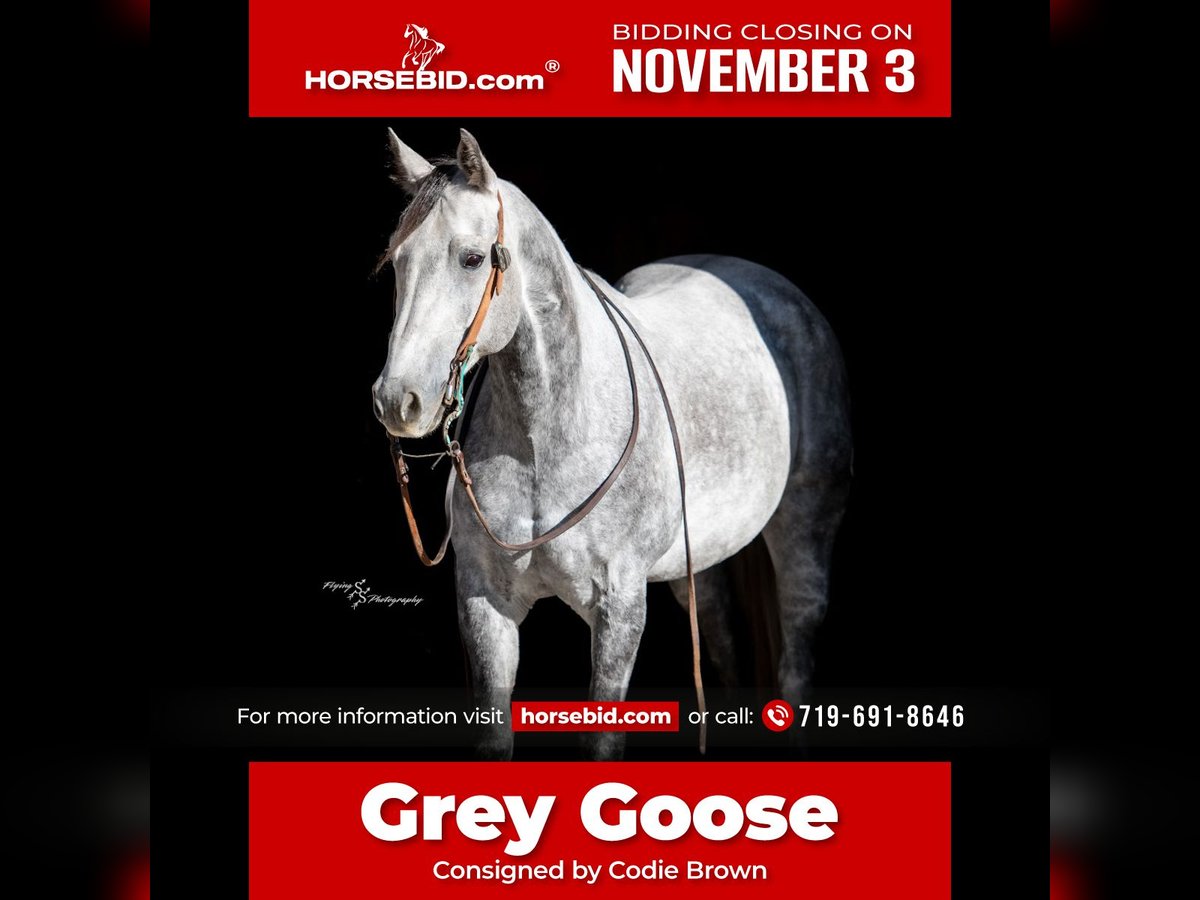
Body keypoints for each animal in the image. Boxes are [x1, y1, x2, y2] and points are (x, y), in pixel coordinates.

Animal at [372, 128, 853, 759]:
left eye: (471, 258)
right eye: (397, 262)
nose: (396, 400)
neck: (544, 438)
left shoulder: (619, 606)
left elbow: (603, 742)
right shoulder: (484, 604)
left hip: (803, 530)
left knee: (797, 650)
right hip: (697, 566)